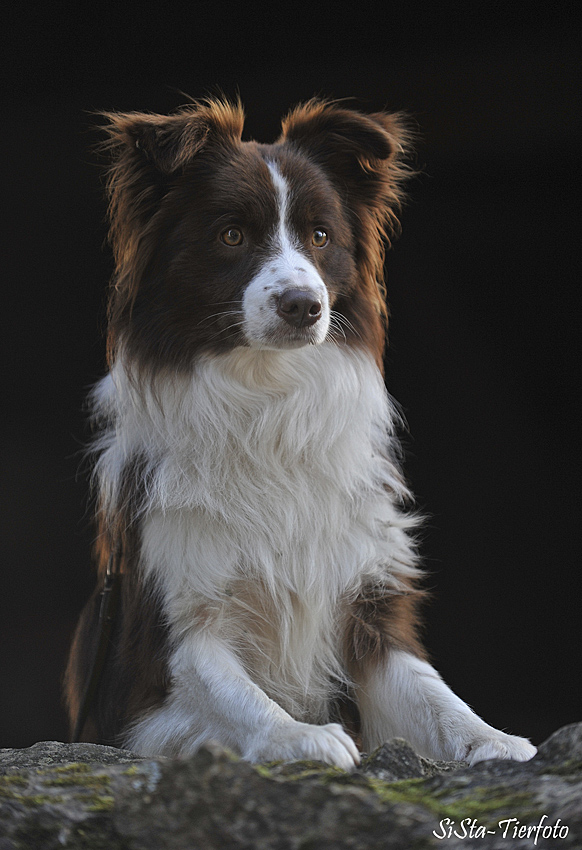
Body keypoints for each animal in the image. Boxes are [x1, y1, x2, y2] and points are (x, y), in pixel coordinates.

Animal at [65, 99, 540, 768]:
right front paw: (298, 735)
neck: (268, 396)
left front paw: (496, 741)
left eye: (320, 236)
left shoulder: (366, 596)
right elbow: (231, 691)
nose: (303, 305)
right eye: (231, 235)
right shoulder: (164, 640)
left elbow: (431, 692)